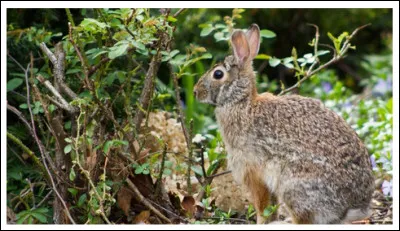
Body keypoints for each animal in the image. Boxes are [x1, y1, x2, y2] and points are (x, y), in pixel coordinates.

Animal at [194, 23, 376, 224]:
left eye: (218, 74)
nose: (195, 92)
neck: (242, 102)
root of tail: (352, 208)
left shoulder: (253, 170)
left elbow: (262, 205)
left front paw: (262, 223)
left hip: (294, 187)